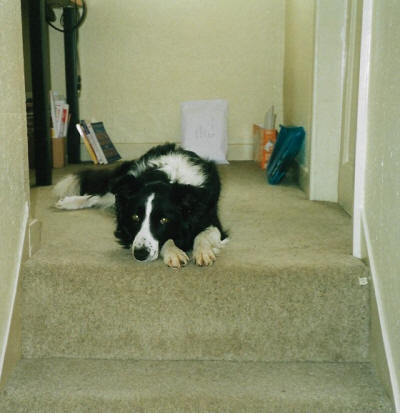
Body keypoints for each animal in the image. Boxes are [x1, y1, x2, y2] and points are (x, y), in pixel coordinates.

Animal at [53, 143, 228, 268]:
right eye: (135, 217)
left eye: (164, 220)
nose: (140, 254)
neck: (171, 179)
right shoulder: (124, 229)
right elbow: (166, 240)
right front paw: (174, 252)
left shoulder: (210, 217)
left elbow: (204, 234)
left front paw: (203, 252)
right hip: (120, 185)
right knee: (96, 196)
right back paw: (69, 202)